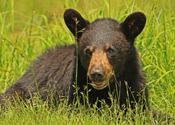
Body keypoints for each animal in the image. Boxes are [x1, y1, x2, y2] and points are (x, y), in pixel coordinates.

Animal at [0, 8, 148, 110]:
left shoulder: (135, 87)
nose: (96, 73)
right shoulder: (74, 90)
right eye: (88, 50)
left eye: (110, 50)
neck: (108, 89)